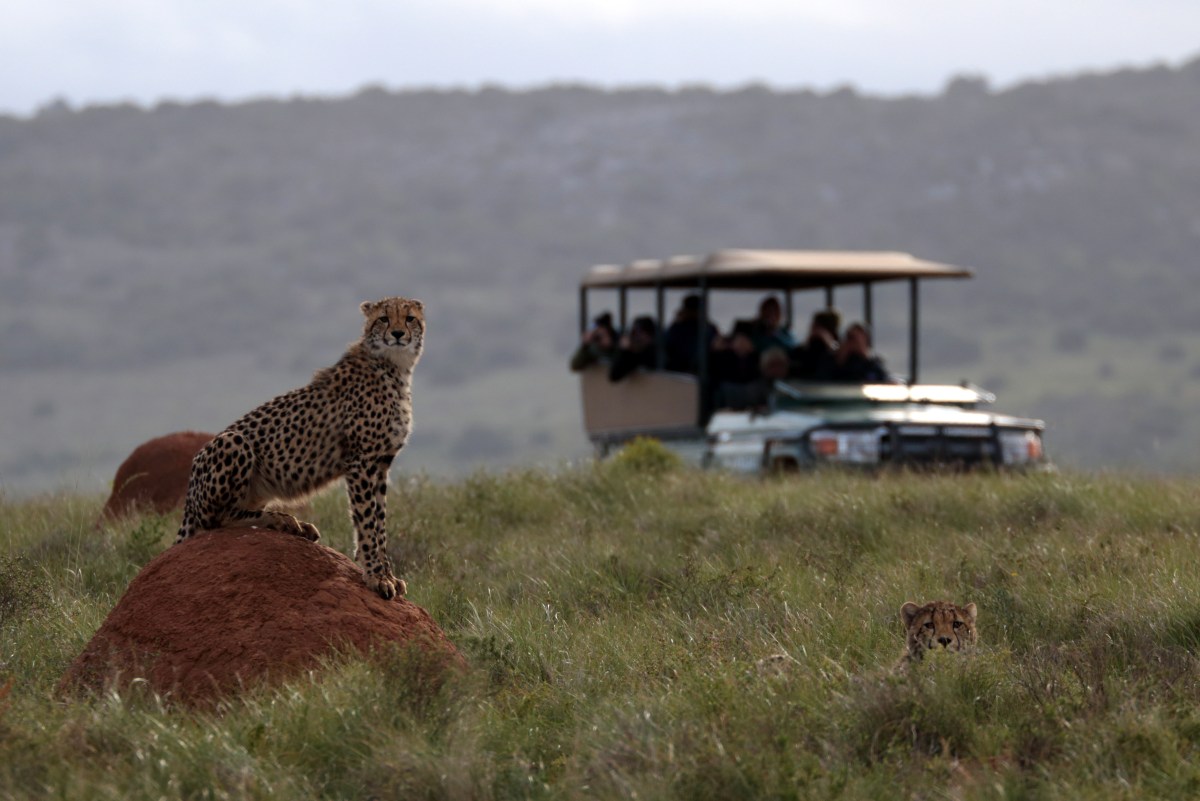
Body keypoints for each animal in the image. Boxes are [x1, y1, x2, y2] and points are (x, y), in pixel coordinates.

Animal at [175, 296, 424, 600]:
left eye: (410, 318)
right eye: (384, 319)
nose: (398, 334)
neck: (394, 367)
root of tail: (189, 496)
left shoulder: (380, 464)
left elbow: (380, 524)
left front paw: (387, 574)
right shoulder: (361, 462)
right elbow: (366, 522)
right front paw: (375, 576)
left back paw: (294, 524)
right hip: (234, 442)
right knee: (217, 519)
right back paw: (281, 519)